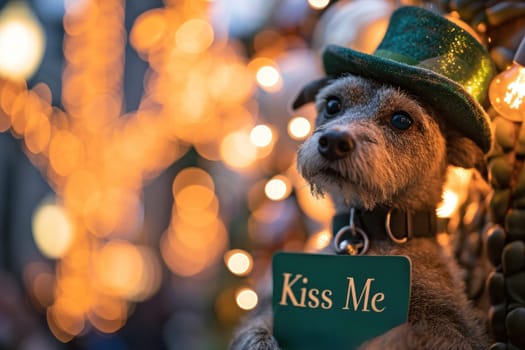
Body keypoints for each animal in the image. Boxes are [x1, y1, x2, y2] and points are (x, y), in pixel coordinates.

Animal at [228, 6, 492, 350]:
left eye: (401, 119)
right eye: (333, 104)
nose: (332, 142)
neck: (371, 233)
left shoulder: (446, 328)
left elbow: (405, 333)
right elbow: (257, 328)